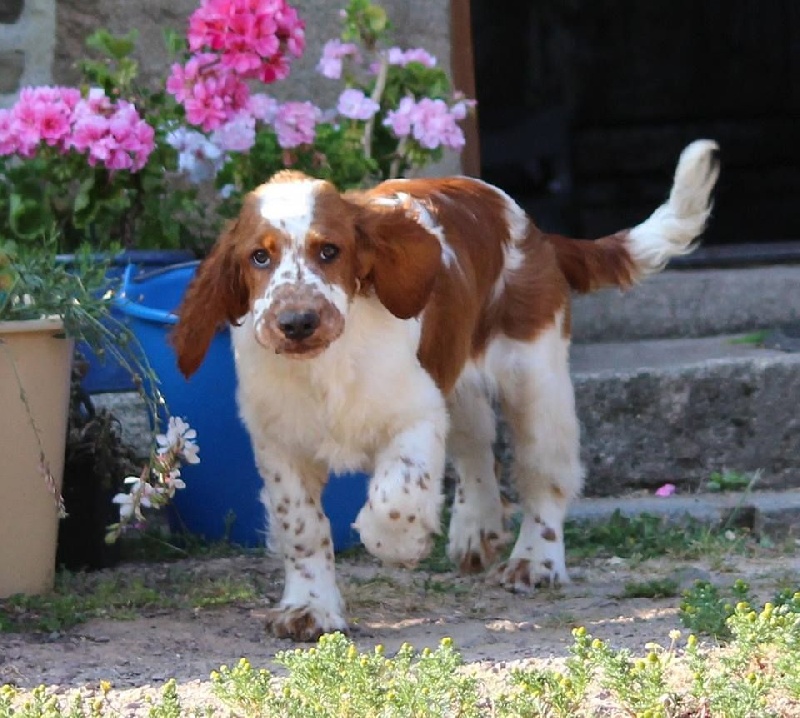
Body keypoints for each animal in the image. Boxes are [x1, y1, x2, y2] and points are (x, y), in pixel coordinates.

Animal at [173, 141, 720, 640]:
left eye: (329, 251)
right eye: (258, 257)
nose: (297, 322)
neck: (325, 364)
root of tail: (532, 228)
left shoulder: (416, 414)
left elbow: (395, 494)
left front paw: (399, 543)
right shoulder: (280, 443)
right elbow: (302, 529)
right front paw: (309, 609)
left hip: (536, 379)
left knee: (544, 473)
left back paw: (535, 561)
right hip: (458, 382)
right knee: (478, 452)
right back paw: (477, 530)